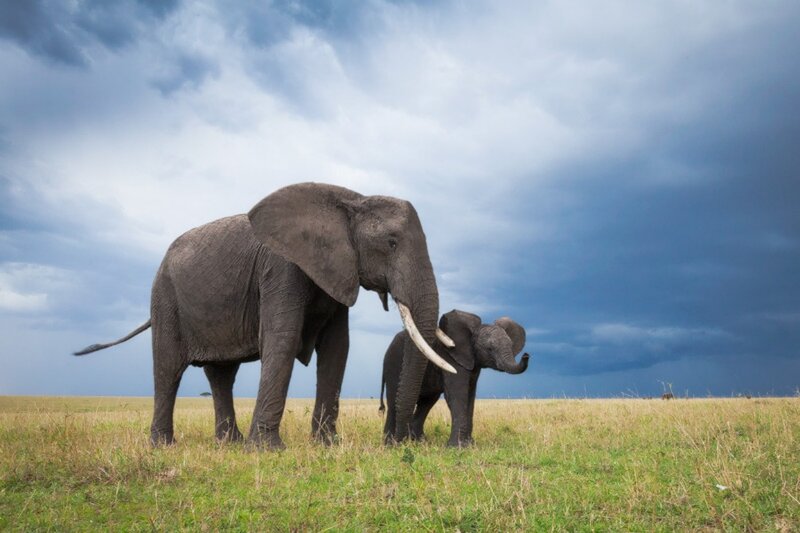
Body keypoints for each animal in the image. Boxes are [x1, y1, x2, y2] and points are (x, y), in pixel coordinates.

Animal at [74, 182, 457, 449]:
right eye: (391, 243)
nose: (398, 442)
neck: (352, 199)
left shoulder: (337, 271)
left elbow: (337, 349)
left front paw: (326, 445)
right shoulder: (281, 267)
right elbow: (283, 338)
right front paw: (267, 450)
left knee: (221, 374)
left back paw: (229, 444)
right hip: (164, 295)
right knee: (168, 368)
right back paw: (163, 446)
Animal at [380, 309, 530, 447]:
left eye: (511, 345)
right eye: (489, 349)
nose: (526, 355)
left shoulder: (473, 364)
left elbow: (470, 396)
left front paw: (469, 445)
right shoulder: (450, 356)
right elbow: (457, 395)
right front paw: (457, 447)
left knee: (426, 402)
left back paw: (420, 443)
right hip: (393, 363)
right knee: (394, 400)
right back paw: (390, 444)